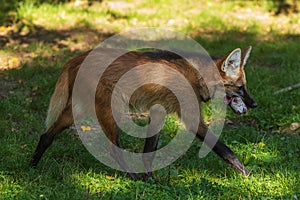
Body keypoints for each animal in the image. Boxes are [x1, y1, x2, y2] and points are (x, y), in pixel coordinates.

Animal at [29, 46, 255, 180]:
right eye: (240, 87)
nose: (254, 104)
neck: (197, 76)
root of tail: (75, 60)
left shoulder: (158, 111)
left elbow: (149, 150)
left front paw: (149, 179)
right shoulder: (190, 118)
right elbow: (225, 150)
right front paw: (248, 173)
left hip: (77, 110)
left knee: (46, 135)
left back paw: (31, 167)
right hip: (112, 110)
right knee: (114, 149)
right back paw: (132, 177)